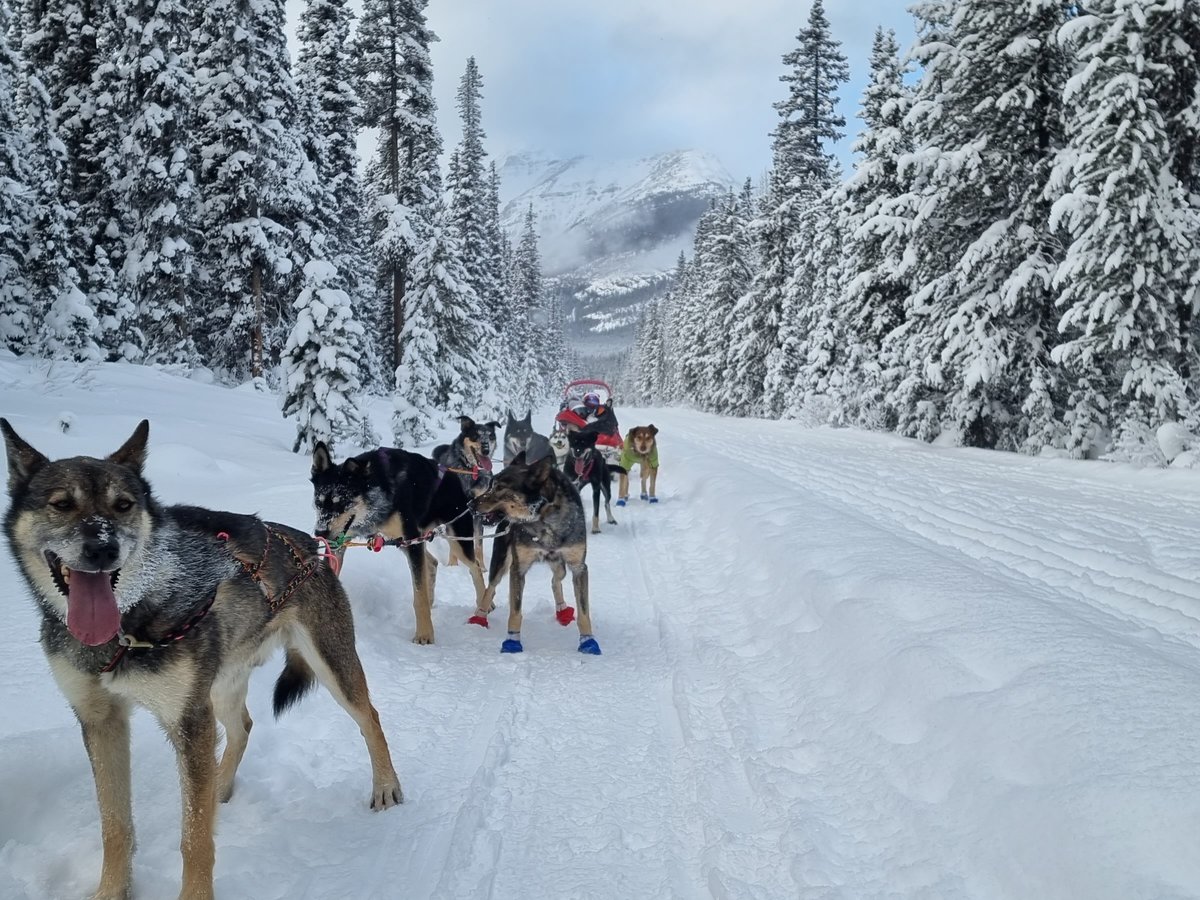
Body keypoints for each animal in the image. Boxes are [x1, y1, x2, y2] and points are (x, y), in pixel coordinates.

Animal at [0, 422, 403, 900]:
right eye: (62, 504)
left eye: (124, 505)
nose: (103, 549)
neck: (126, 625)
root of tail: (313, 546)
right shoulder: (100, 721)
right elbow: (115, 825)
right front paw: (112, 890)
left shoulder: (187, 720)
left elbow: (194, 839)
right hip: (220, 684)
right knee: (242, 726)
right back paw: (219, 785)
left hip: (328, 663)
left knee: (369, 716)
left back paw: (386, 786)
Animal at [314, 441, 496, 643]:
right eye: (318, 502)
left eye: (343, 502)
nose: (320, 532)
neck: (380, 487)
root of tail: (452, 475)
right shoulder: (340, 544)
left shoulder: (411, 541)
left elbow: (419, 596)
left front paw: (425, 634)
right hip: (409, 541)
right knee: (432, 562)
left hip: (454, 540)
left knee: (475, 567)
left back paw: (484, 603)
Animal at [468, 451, 600, 657]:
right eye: (490, 485)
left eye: (499, 488)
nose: (470, 504)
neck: (544, 520)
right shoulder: (518, 568)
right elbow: (515, 612)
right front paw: (512, 642)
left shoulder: (579, 567)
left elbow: (584, 613)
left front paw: (588, 642)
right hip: (502, 561)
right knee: (491, 587)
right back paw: (479, 617)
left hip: (560, 565)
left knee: (555, 580)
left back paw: (562, 610)